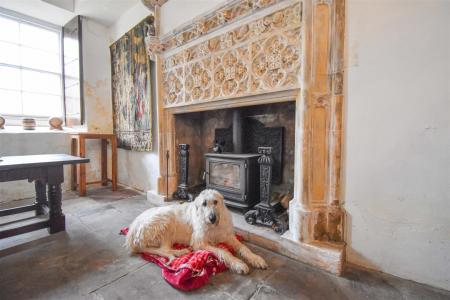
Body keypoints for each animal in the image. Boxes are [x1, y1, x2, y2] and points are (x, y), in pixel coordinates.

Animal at [125, 190, 268, 274]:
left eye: (215, 202)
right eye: (204, 204)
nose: (212, 218)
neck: (213, 226)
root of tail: (132, 233)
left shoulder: (227, 236)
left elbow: (243, 247)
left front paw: (256, 258)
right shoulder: (200, 243)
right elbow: (223, 251)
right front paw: (238, 264)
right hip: (166, 219)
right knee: (163, 250)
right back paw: (181, 251)